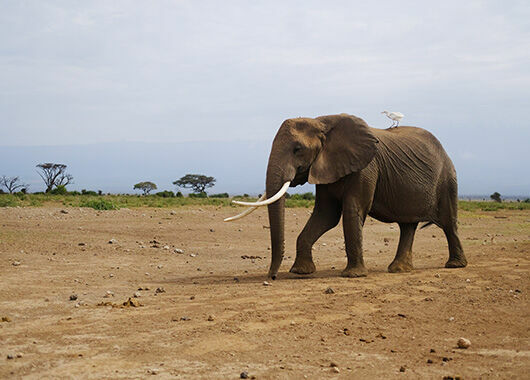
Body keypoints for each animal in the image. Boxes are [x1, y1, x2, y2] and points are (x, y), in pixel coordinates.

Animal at [225, 113, 464, 280]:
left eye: (297, 149)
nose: (272, 276)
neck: (321, 122)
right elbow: (326, 215)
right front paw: (301, 272)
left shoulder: (367, 167)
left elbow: (352, 211)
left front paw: (353, 275)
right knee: (407, 226)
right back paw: (399, 269)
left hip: (447, 179)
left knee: (448, 223)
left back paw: (455, 265)